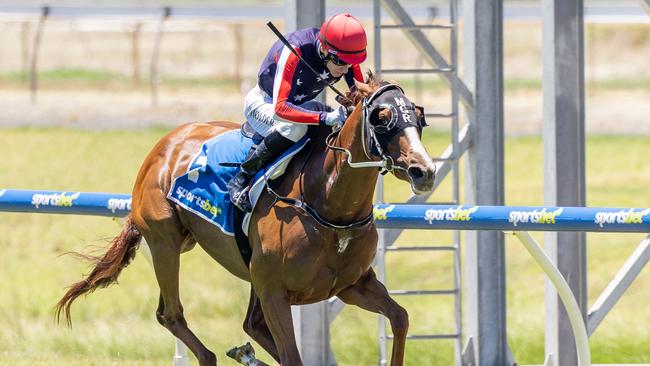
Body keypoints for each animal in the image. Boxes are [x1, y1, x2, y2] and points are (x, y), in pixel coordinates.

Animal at [53, 75, 432, 366]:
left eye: (417, 115)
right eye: (382, 116)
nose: (424, 171)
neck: (328, 207)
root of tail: (165, 143)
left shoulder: (353, 285)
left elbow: (400, 317)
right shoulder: (275, 292)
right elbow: (292, 357)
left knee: (250, 326)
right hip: (165, 242)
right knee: (171, 315)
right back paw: (213, 356)